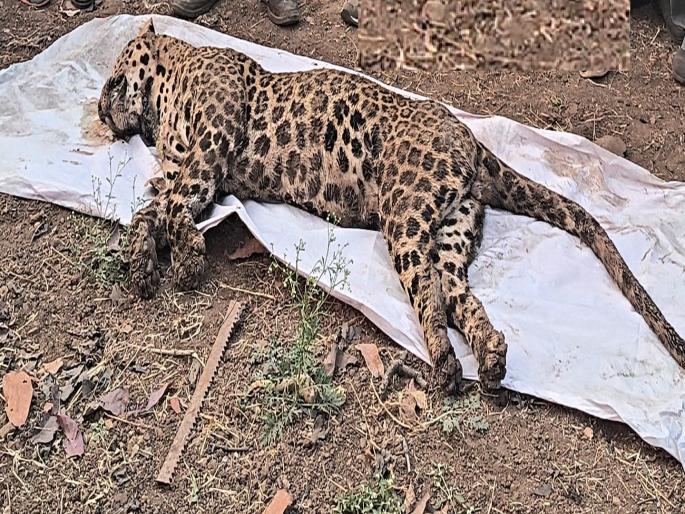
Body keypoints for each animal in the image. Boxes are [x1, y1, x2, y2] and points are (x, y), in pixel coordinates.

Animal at [98, 19, 685, 392]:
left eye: (111, 75)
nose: (101, 111)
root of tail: (471, 138)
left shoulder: (212, 146)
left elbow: (175, 208)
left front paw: (184, 260)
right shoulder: (181, 170)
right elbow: (149, 211)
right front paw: (139, 265)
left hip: (404, 213)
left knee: (429, 292)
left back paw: (447, 364)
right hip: (452, 228)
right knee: (453, 294)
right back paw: (488, 357)